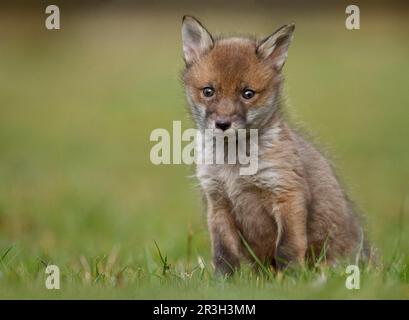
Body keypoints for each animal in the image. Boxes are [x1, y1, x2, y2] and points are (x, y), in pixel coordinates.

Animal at [181, 15, 366, 276]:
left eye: (248, 93)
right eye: (208, 91)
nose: (223, 124)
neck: (234, 167)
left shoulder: (288, 193)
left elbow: (287, 247)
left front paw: (292, 279)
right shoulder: (217, 202)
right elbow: (223, 253)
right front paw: (223, 282)